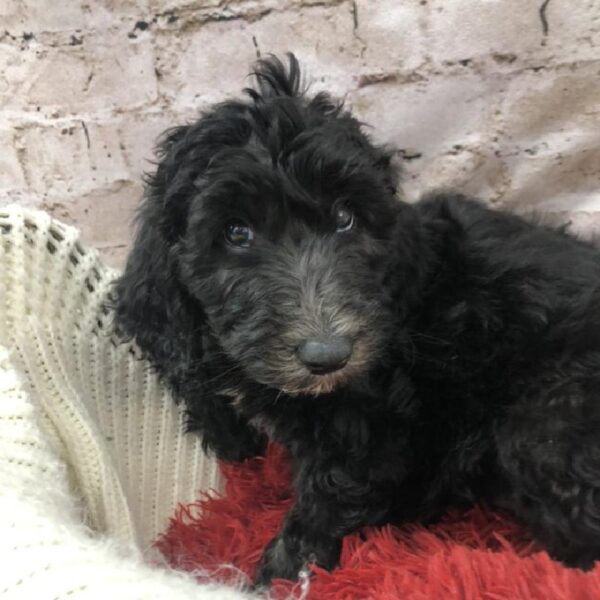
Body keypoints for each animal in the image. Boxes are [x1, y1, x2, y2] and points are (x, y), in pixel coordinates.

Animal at [115, 54, 600, 584]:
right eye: (236, 232)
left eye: (345, 218)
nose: (329, 355)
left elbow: (329, 495)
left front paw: (277, 575)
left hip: (543, 426)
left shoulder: (369, 427)